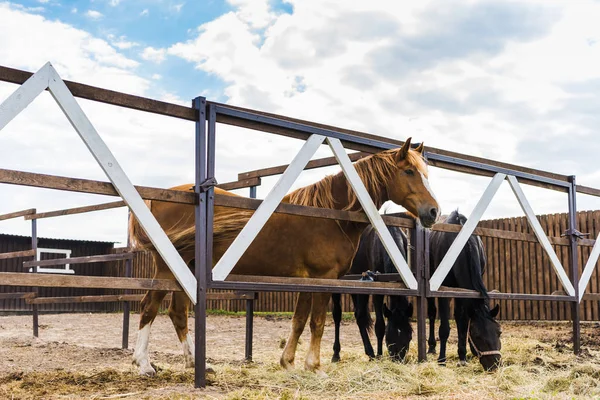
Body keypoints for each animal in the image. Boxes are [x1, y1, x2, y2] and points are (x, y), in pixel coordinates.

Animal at [330, 216, 414, 362]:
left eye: (409, 335)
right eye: (389, 337)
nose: (398, 359)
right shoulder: (377, 292)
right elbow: (379, 325)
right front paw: (379, 355)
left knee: (359, 315)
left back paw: (369, 352)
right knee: (337, 315)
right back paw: (336, 354)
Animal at [426, 211, 502, 370]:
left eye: (499, 332)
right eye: (477, 335)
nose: (494, 365)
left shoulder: (464, 291)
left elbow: (463, 322)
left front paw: (462, 356)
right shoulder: (444, 292)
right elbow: (444, 328)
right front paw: (442, 360)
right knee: (431, 313)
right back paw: (431, 347)